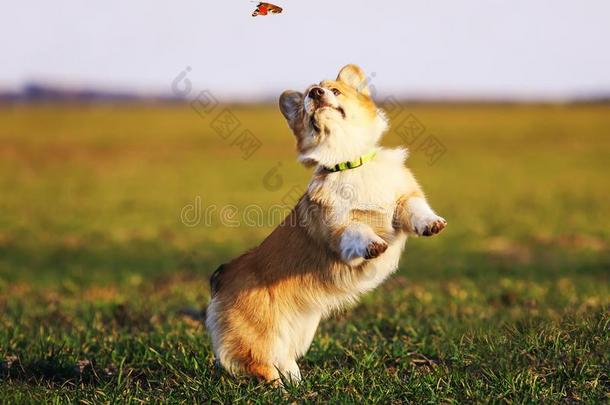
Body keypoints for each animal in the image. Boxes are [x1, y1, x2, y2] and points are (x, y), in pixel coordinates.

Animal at [205, 64, 446, 384]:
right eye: (308, 95)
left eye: (334, 90)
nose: (316, 93)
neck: (349, 162)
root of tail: (223, 273)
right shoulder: (338, 230)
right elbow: (356, 230)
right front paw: (373, 244)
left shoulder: (402, 199)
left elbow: (415, 207)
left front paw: (431, 223)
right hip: (258, 336)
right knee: (260, 363)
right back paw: (277, 387)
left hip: (299, 330)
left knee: (283, 357)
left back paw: (295, 380)